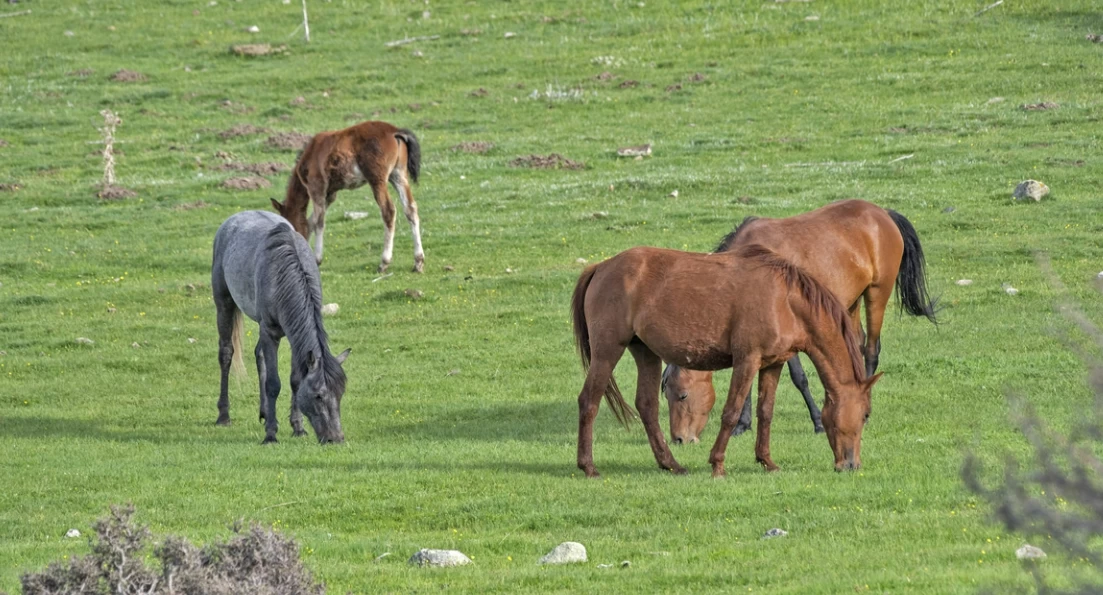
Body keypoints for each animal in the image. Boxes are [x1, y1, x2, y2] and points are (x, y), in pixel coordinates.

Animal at [212, 209, 350, 441]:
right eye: (318, 396)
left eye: (340, 393)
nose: (335, 438)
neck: (283, 274)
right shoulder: (270, 331)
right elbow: (273, 383)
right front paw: (271, 435)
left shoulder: (293, 336)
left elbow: (294, 381)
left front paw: (298, 427)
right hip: (224, 304)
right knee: (226, 354)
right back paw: (224, 416)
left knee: (258, 354)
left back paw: (265, 412)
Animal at [269, 121, 423, 274]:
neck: (311, 153)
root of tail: (394, 131)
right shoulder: (330, 194)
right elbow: (311, 221)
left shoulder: (316, 188)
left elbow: (318, 222)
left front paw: (317, 259)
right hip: (399, 176)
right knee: (410, 209)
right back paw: (418, 262)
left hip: (377, 180)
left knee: (389, 211)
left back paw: (384, 263)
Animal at [573, 241, 882, 479]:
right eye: (866, 415)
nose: (851, 464)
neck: (785, 300)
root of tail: (601, 267)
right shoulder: (747, 360)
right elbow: (731, 412)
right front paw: (717, 464)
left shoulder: (773, 364)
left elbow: (765, 412)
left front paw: (766, 461)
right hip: (607, 351)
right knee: (589, 401)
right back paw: (588, 467)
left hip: (645, 353)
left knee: (647, 407)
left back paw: (671, 464)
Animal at [661, 200, 939, 445]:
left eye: (683, 395)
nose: (679, 439)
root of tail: (883, 213)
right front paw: (743, 424)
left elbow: (799, 377)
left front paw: (816, 421)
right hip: (850, 303)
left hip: (876, 294)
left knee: (871, 350)